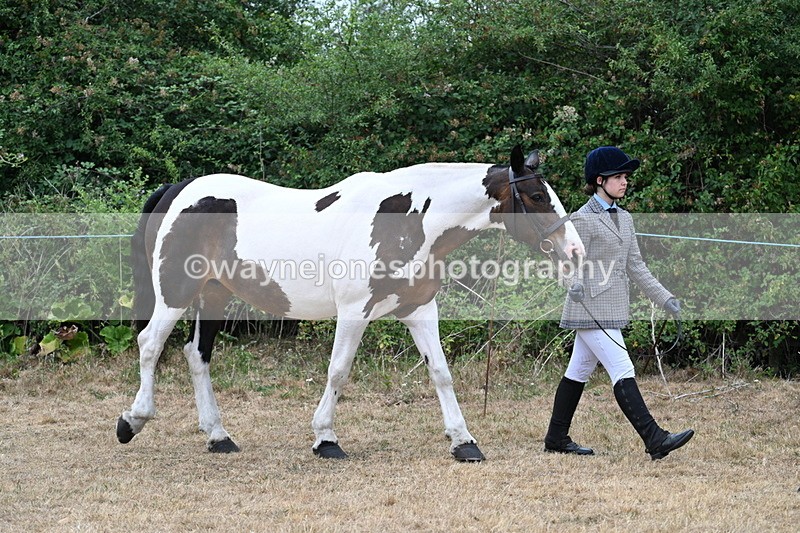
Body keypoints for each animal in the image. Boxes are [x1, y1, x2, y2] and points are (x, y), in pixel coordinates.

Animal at [116, 145, 584, 462]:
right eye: (538, 197)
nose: (575, 252)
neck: (410, 220)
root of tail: (178, 189)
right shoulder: (355, 312)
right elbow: (338, 371)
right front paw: (326, 439)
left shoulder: (419, 311)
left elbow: (441, 374)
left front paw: (464, 442)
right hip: (175, 293)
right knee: (150, 344)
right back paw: (132, 420)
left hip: (214, 294)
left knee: (196, 355)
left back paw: (219, 437)